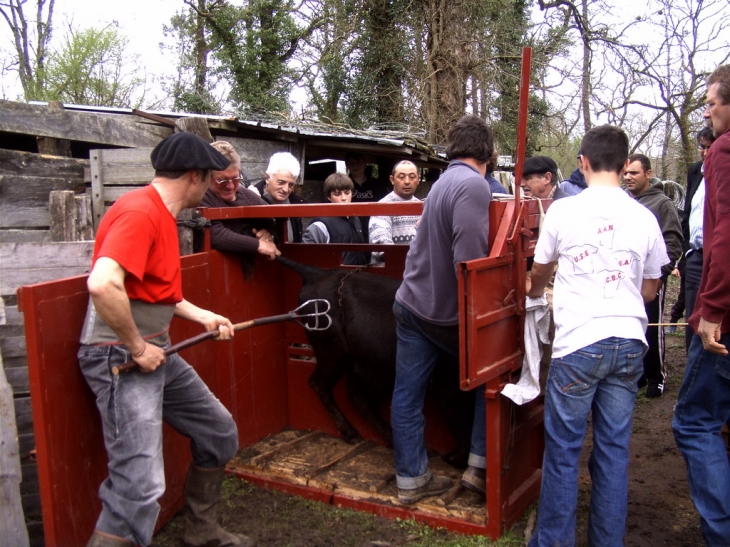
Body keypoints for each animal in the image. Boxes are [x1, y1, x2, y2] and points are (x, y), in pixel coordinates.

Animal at [276, 255, 474, 468]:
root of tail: (317, 273)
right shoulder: (447, 385)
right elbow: (461, 422)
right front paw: (458, 459)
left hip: (372, 368)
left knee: (358, 396)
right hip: (334, 353)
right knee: (322, 385)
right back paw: (353, 433)